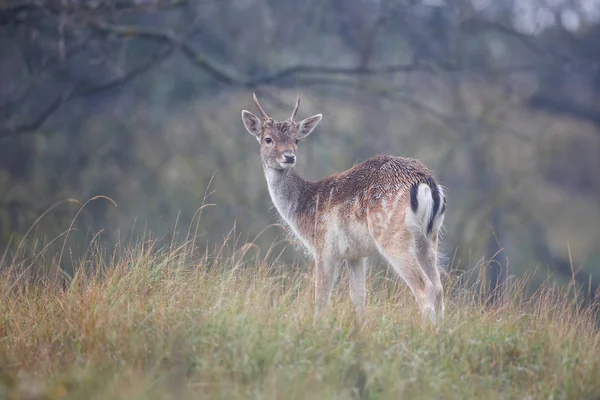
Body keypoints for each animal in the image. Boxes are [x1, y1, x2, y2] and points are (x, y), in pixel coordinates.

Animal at [241, 92, 448, 324]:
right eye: (268, 139)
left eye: (296, 140)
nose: (289, 156)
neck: (303, 206)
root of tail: (427, 183)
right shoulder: (355, 255)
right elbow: (358, 298)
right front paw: (360, 327)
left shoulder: (324, 248)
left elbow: (321, 298)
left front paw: (316, 326)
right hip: (429, 238)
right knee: (439, 287)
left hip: (392, 236)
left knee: (424, 287)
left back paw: (427, 329)